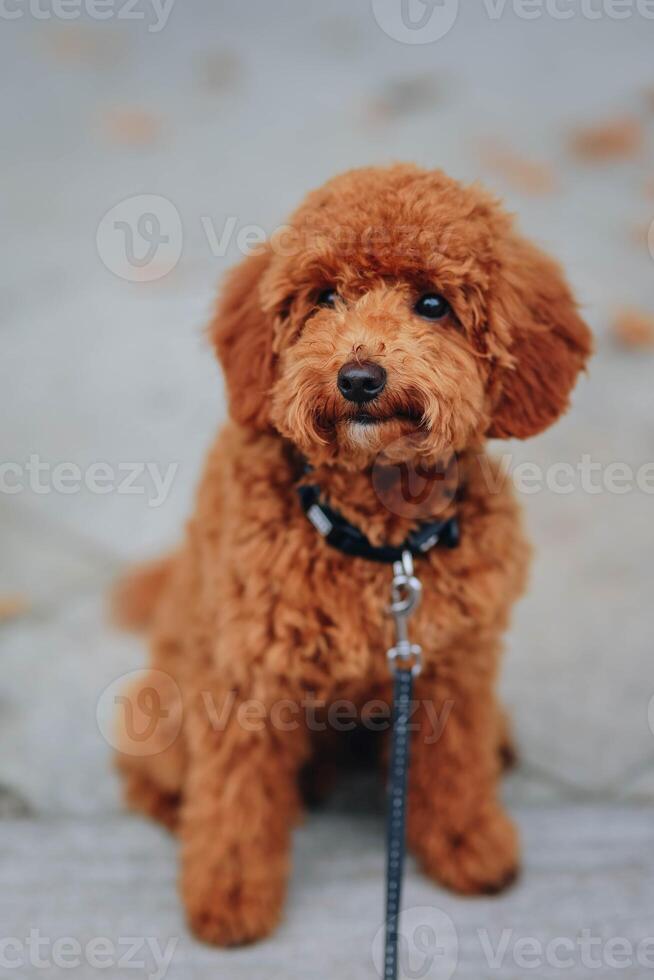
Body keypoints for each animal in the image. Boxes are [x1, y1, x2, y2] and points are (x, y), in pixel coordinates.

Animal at [114, 165, 596, 944]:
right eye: (324, 297)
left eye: (433, 304)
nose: (359, 378)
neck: (379, 543)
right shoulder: (246, 683)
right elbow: (237, 800)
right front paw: (231, 893)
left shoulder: (451, 667)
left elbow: (455, 767)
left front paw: (469, 843)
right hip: (165, 693)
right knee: (157, 773)